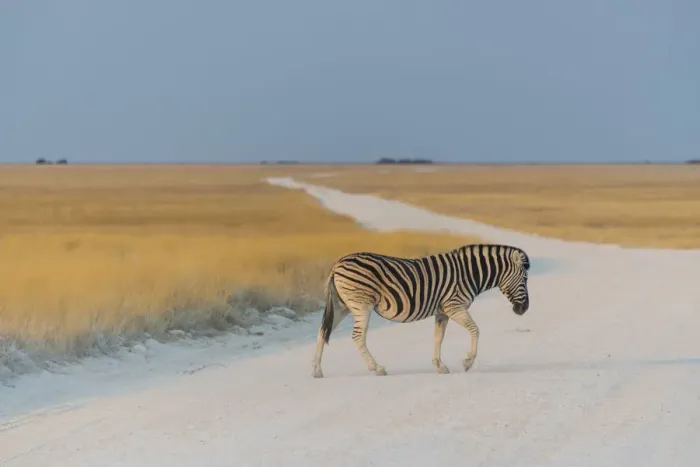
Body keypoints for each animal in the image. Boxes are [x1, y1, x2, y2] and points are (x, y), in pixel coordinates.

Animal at [311, 243, 530, 378]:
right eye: (525, 279)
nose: (524, 309)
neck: (470, 274)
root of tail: (337, 263)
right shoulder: (454, 306)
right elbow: (475, 330)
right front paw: (467, 362)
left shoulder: (442, 311)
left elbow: (438, 337)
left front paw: (439, 365)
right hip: (361, 304)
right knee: (357, 336)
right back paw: (377, 368)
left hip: (342, 306)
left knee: (322, 331)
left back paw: (317, 371)